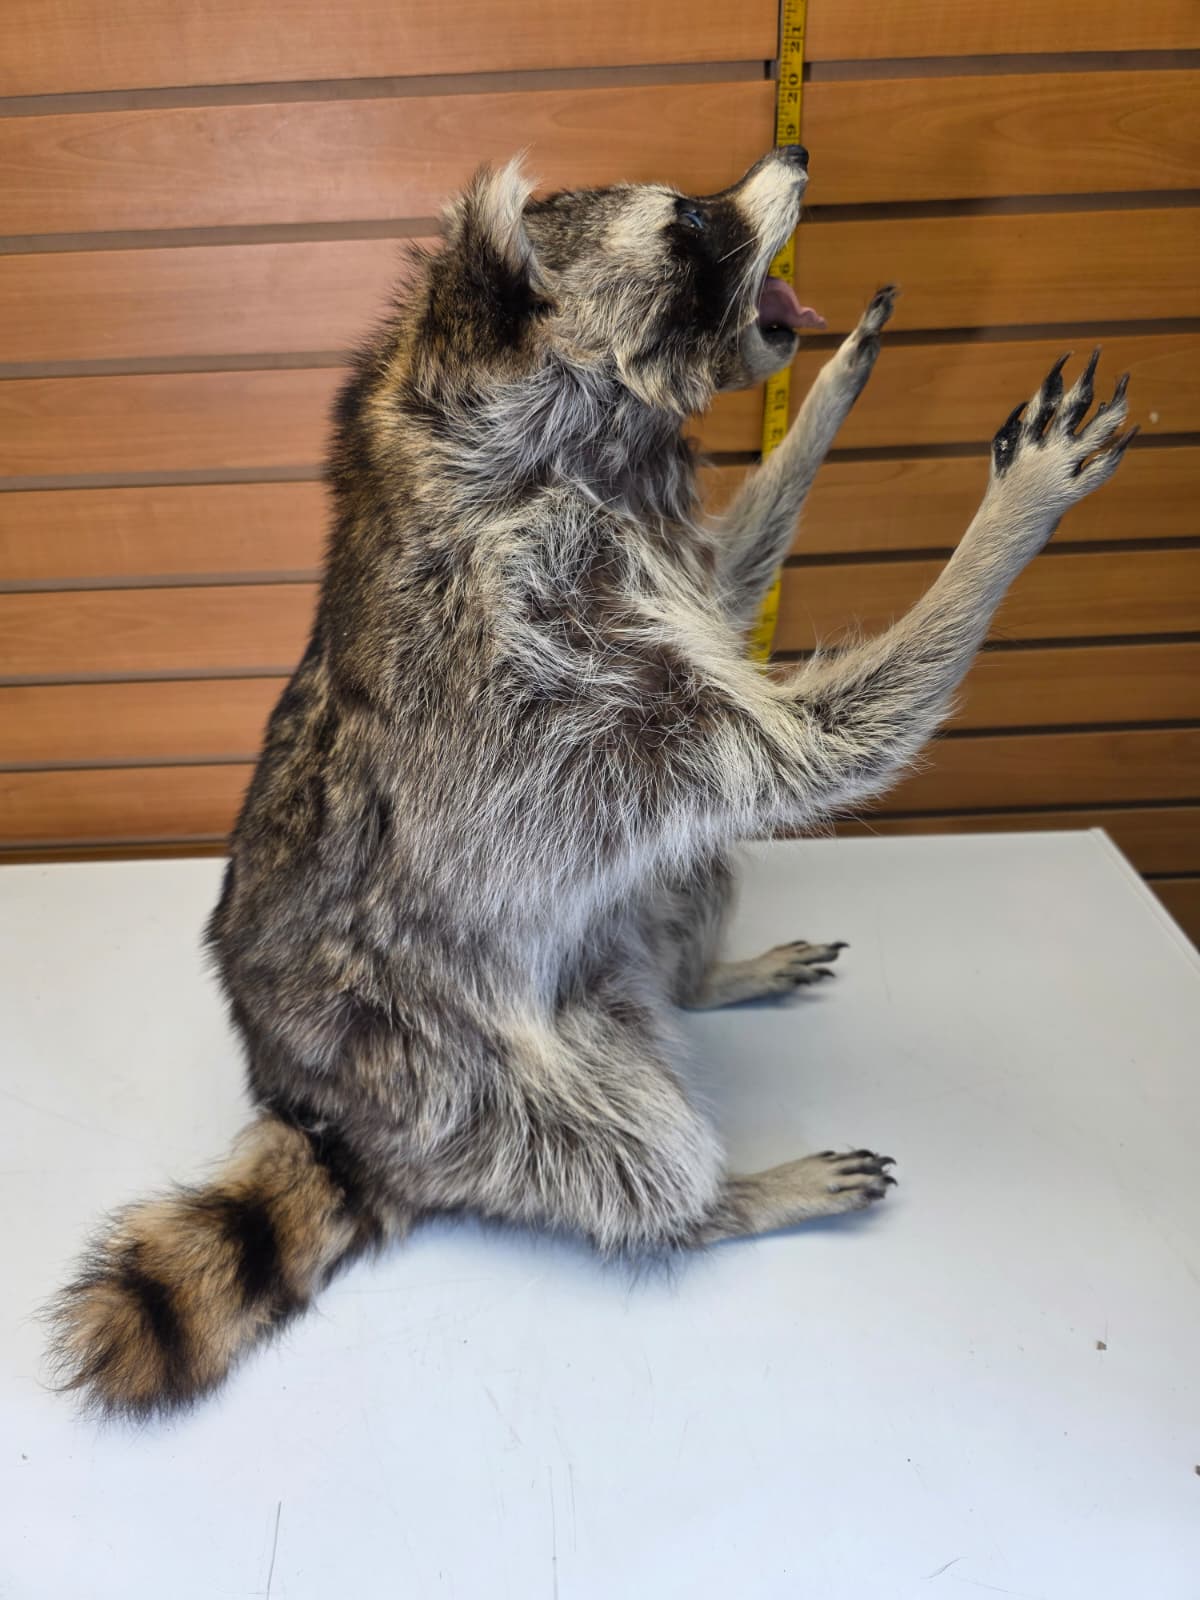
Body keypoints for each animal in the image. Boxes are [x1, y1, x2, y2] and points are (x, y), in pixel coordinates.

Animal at [49, 148, 1134, 1417]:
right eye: (691, 224)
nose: (797, 159)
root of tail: (317, 1109)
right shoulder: (551, 666)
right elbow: (816, 747)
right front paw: (1010, 522)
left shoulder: (620, 586)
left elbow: (725, 591)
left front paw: (820, 410)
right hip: (465, 1083)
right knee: (624, 1138)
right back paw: (720, 1199)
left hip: (603, 933)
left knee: (683, 872)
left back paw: (705, 974)